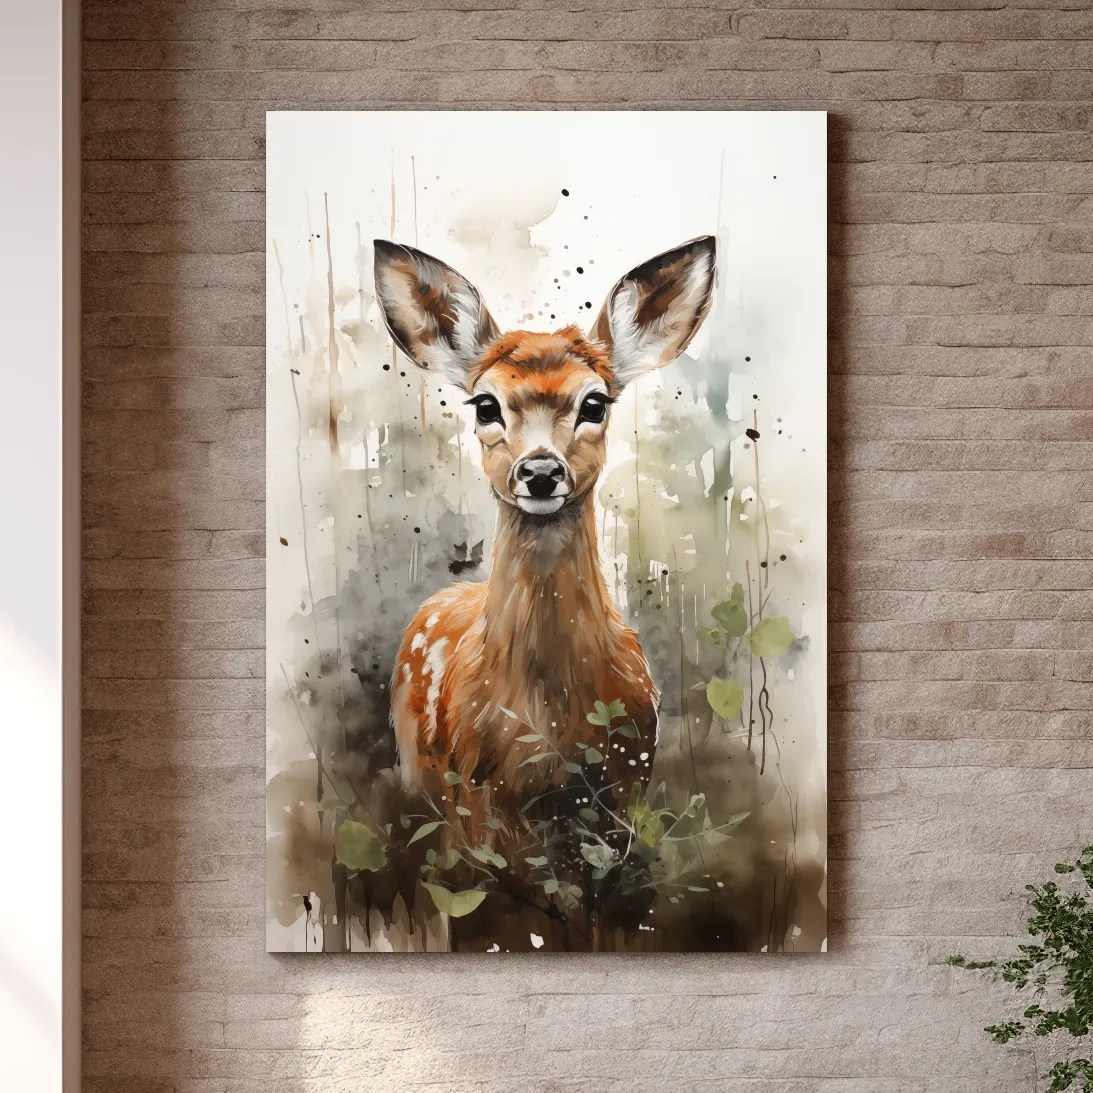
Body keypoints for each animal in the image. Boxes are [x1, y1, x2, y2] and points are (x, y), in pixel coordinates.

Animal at [374, 235, 717, 825]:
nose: (539, 472)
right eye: (484, 404)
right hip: (420, 773)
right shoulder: (474, 797)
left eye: (595, 402)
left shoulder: (629, 781)